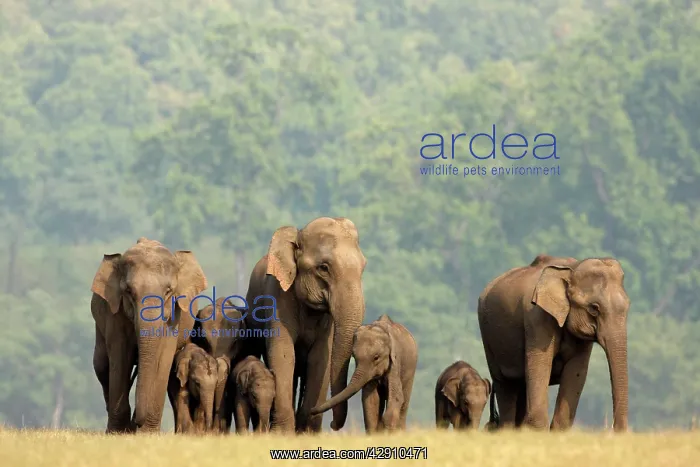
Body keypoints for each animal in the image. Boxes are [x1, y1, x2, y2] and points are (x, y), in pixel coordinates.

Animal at [90, 237, 207, 433]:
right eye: (129, 292)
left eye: (168, 291)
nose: (136, 423)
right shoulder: (115, 313)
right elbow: (120, 357)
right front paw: (117, 432)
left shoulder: (174, 316)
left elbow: (163, 359)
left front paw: (148, 432)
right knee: (101, 365)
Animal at [244, 217, 367, 434]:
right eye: (323, 268)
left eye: (363, 267)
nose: (333, 425)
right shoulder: (277, 296)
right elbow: (283, 354)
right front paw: (282, 433)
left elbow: (321, 359)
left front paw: (307, 432)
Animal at [478, 253, 630, 432]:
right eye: (594, 308)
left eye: (627, 307)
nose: (617, 430)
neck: (572, 269)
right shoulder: (537, 317)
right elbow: (540, 366)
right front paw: (537, 430)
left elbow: (576, 371)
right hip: (488, 336)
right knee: (505, 384)